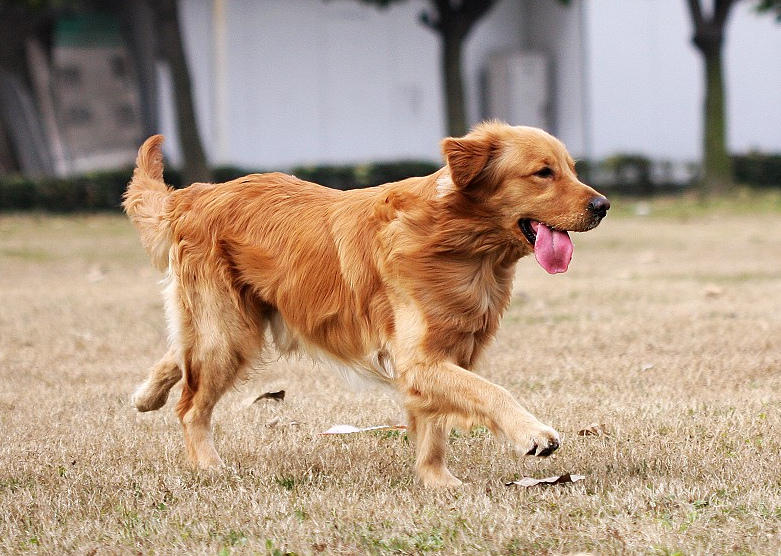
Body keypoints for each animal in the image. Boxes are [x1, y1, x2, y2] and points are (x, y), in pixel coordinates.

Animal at [123, 121, 608, 486]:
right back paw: (209, 465)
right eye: (543, 173)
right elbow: (490, 391)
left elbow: (433, 427)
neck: (459, 244)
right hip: (229, 334)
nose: (603, 205)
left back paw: (147, 395)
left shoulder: (441, 358)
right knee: (191, 406)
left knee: (180, 353)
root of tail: (197, 193)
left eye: (571, 169)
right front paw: (533, 432)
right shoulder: (420, 360)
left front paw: (437, 481)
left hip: (233, 324)